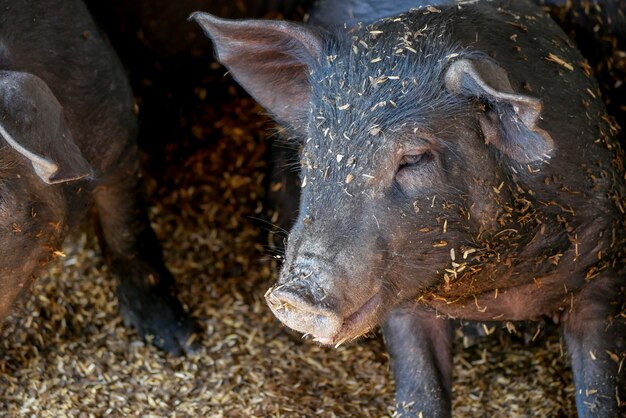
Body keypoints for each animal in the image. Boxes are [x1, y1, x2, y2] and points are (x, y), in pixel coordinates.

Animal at [193, 0, 620, 414]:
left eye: (413, 158)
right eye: (312, 152)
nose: (294, 294)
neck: (496, 293)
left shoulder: (603, 264)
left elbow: (600, 387)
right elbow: (421, 389)